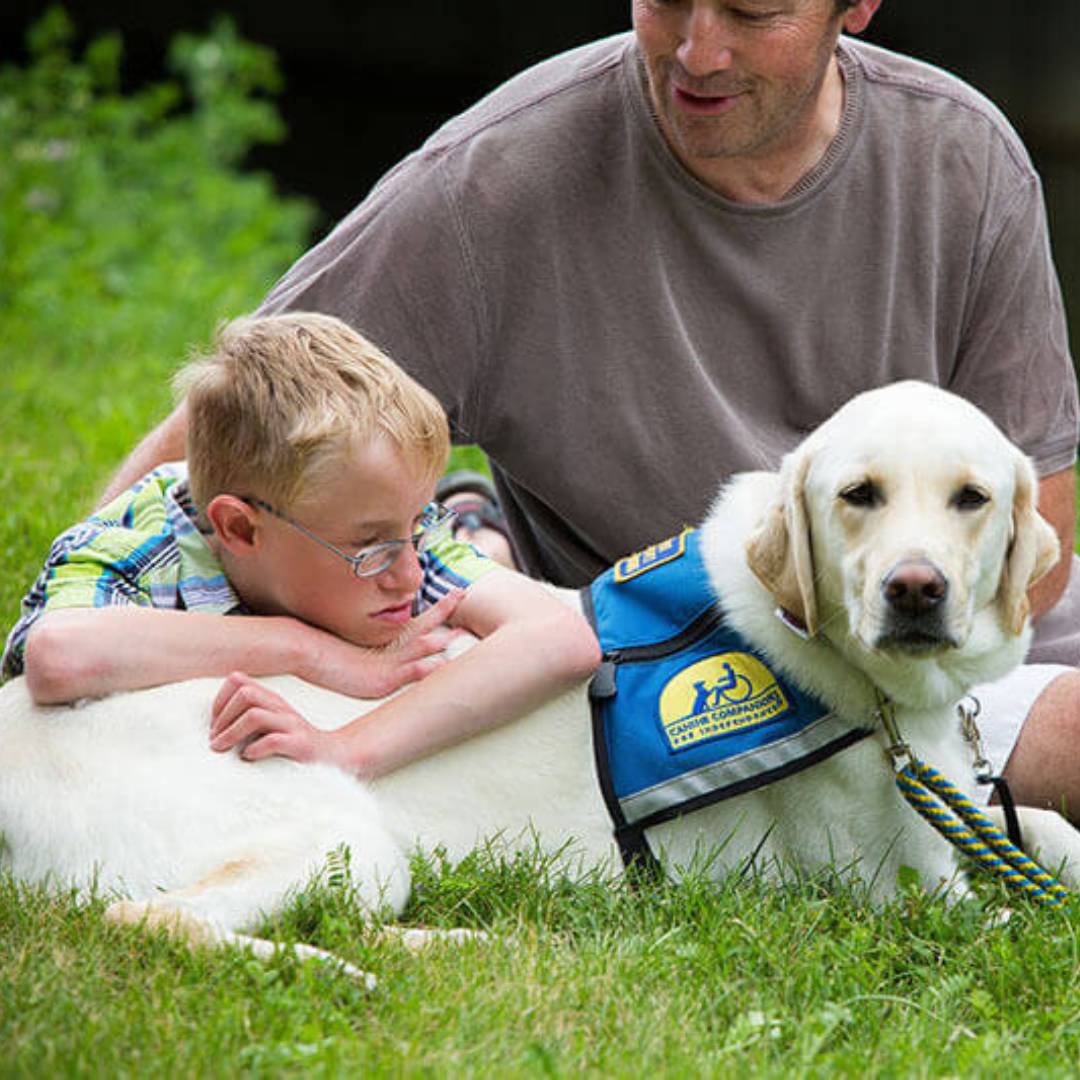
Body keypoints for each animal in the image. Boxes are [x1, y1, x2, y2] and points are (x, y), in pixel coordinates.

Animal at [0, 380, 1075, 972]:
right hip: (339, 831)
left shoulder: (975, 822)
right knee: (150, 918)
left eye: (971, 498)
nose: (915, 590)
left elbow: (1049, 832)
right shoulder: (905, 897)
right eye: (859, 495)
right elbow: (1028, 919)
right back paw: (328, 971)